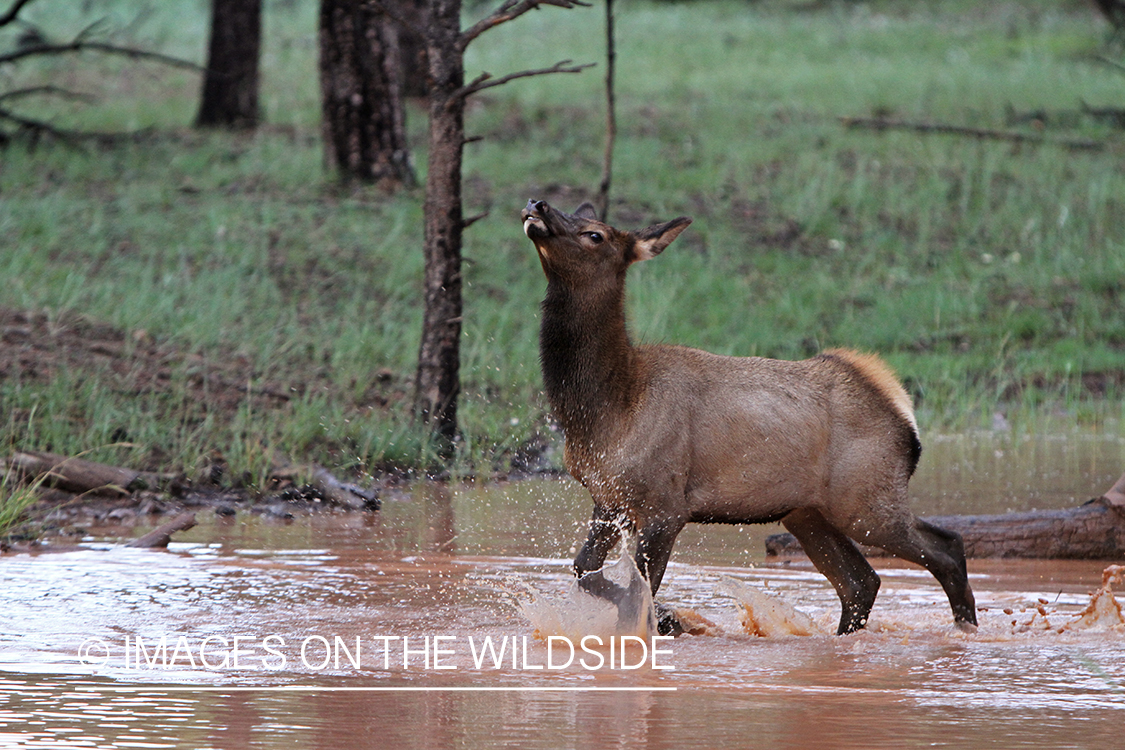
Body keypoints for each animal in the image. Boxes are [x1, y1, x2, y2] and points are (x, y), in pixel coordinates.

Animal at [519, 197, 976, 634]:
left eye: (594, 234)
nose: (536, 204)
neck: (607, 409)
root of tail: (901, 412)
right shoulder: (608, 499)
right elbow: (585, 570)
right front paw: (673, 620)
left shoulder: (665, 504)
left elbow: (636, 594)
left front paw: (669, 622)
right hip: (809, 512)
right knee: (861, 581)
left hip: (866, 498)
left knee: (946, 546)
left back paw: (966, 630)